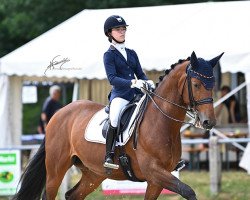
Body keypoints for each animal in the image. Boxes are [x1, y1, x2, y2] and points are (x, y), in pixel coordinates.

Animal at [13, 50, 223, 199]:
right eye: (196, 84)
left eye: (213, 84)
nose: (208, 121)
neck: (161, 123)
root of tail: (58, 114)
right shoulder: (154, 172)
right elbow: (188, 191)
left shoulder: (156, 180)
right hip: (56, 169)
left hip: (94, 173)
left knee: (73, 195)